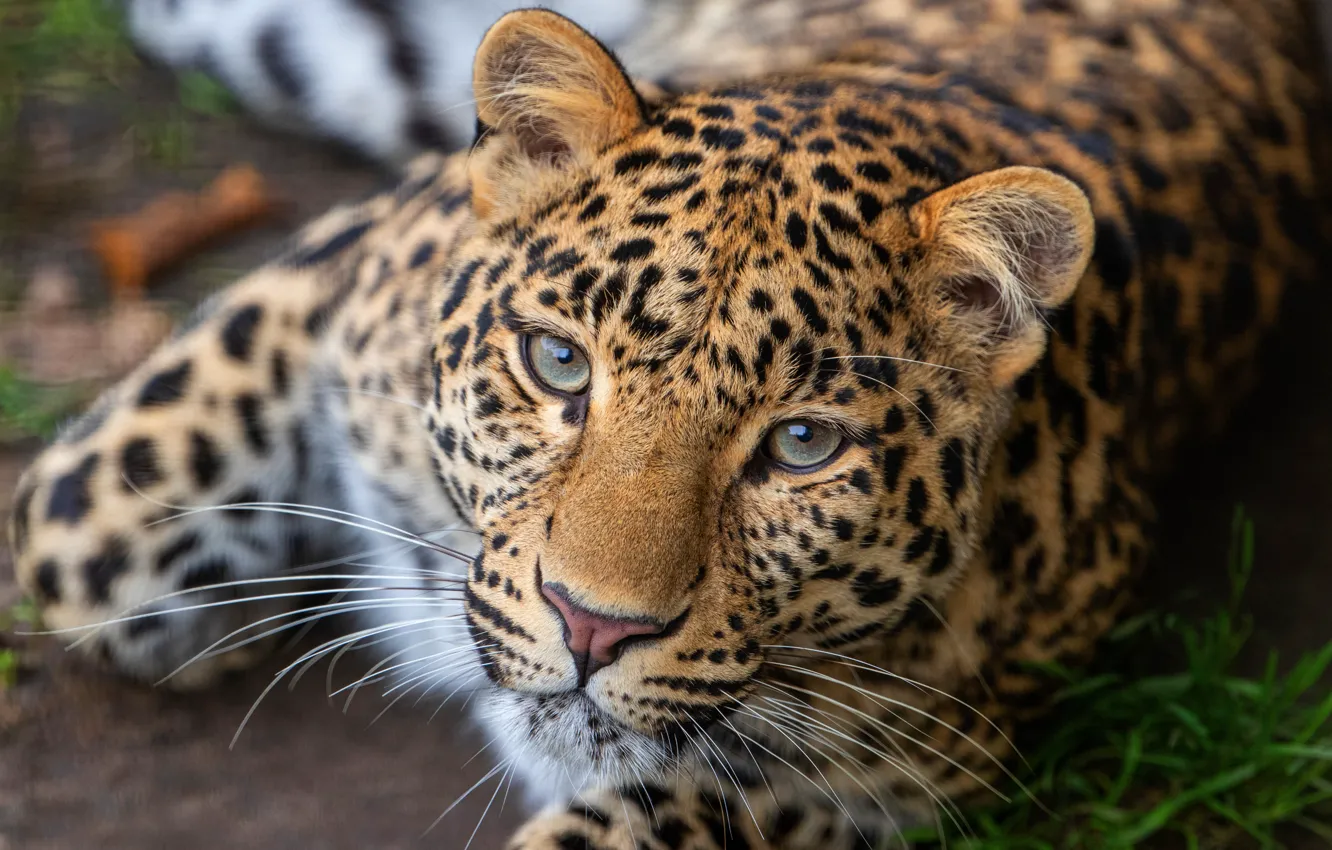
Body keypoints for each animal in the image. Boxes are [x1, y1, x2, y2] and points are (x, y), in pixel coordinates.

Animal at [7, 1, 1329, 848]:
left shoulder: (914, 771)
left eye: (802, 445)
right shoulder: (342, 275)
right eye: (557, 365)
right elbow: (78, 535)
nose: (594, 627)